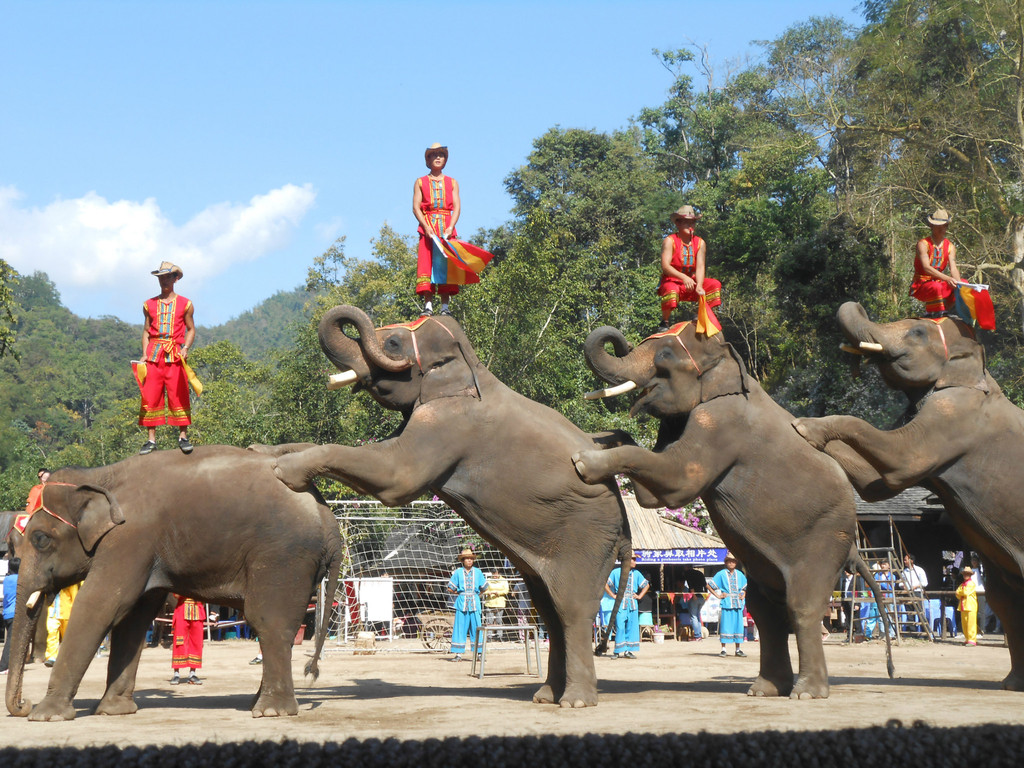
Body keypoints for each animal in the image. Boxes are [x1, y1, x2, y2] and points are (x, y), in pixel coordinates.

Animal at [4, 444, 342, 720]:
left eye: (41, 539)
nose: (22, 705)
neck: (101, 475)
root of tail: (326, 514)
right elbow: (133, 618)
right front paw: (114, 710)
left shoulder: (130, 537)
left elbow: (101, 604)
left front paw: (46, 716)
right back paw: (258, 704)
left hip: (283, 555)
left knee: (269, 622)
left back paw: (271, 711)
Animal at [253, 305, 630, 708]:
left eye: (393, 343)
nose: (312, 673)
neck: (471, 366)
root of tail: (625, 526)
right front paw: (261, 451)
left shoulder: (451, 424)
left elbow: (396, 477)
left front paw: (283, 471)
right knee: (549, 610)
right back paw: (544, 696)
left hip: (587, 538)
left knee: (573, 610)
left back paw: (574, 701)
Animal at [573, 321, 892, 700]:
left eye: (665, 356)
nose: (601, 647)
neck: (728, 360)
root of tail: (856, 546)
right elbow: (653, 491)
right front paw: (601, 437)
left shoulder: (721, 421)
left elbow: (677, 481)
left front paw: (583, 462)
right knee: (765, 610)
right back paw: (764, 690)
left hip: (826, 537)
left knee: (803, 605)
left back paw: (805, 693)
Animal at [794, 301, 1024, 692]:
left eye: (917, 333)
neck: (976, 367)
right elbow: (876, 485)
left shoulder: (954, 417)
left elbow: (900, 463)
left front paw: (802, 427)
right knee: (1005, 599)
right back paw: (1013, 685)